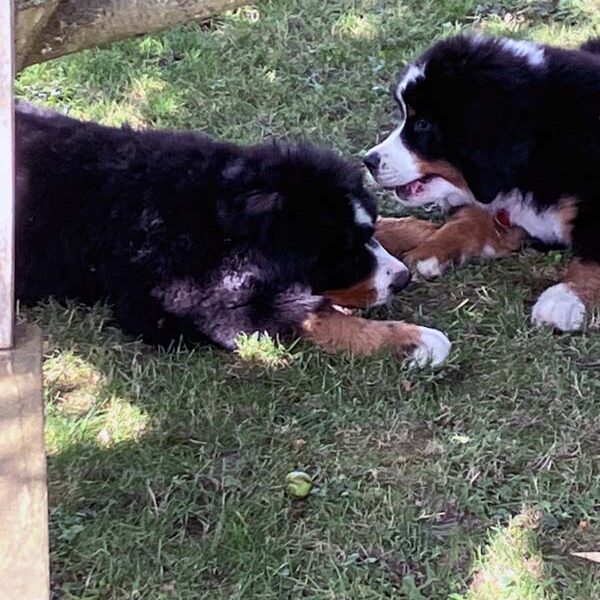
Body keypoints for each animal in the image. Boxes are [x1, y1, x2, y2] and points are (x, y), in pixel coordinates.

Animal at [366, 34, 600, 330]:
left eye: (422, 125)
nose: (368, 161)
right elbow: (471, 218)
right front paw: (430, 250)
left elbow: (591, 255)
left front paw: (564, 299)